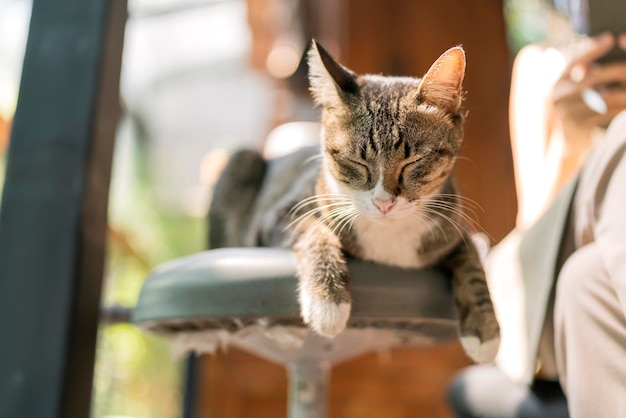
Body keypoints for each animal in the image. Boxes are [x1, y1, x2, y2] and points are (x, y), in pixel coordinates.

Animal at [210, 40, 498, 364]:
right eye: (356, 162)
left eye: (414, 161)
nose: (384, 202)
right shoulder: (278, 216)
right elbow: (313, 231)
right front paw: (328, 301)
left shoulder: (454, 227)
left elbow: (473, 264)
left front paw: (485, 331)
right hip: (242, 161)